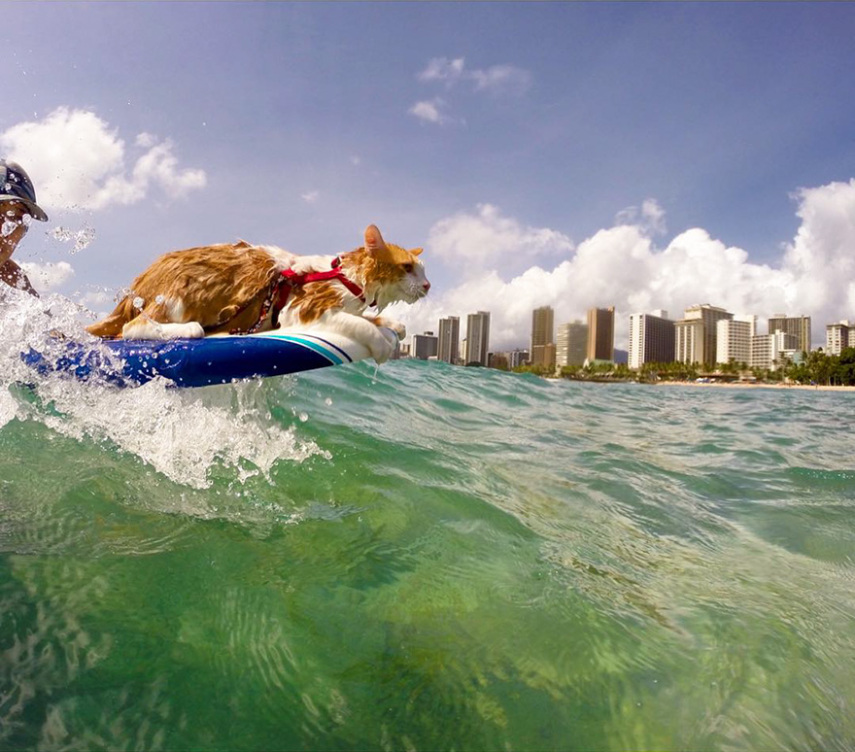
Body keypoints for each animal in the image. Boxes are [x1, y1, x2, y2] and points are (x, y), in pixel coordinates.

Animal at [87, 225, 432, 362]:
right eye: (407, 268)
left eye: (423, 270)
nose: (429, 285)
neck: (348, 277)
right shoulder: (304, 310)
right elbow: (359, 323)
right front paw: (381, 342)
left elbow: (375, 319)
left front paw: (393, 325)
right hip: (182, 293)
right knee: (133, 328)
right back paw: (191, 330)